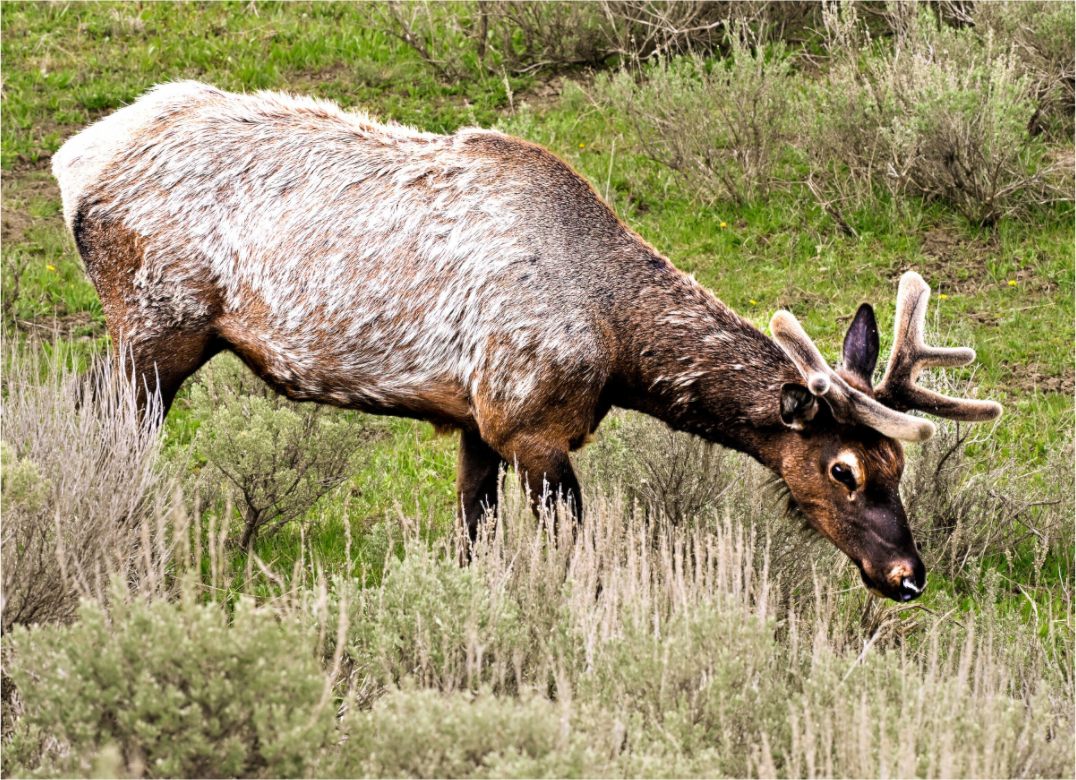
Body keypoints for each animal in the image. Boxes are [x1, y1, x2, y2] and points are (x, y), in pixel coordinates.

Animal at [52, 81, 1002, 602]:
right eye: (842, 470)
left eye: (897, 466)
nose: (908, 574)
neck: (618, 351)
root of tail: (76, 163)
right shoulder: (533, 420)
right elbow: (578, 551)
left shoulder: (479, 417)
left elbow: (473, 533)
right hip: (159, 320)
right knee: (104, 419)